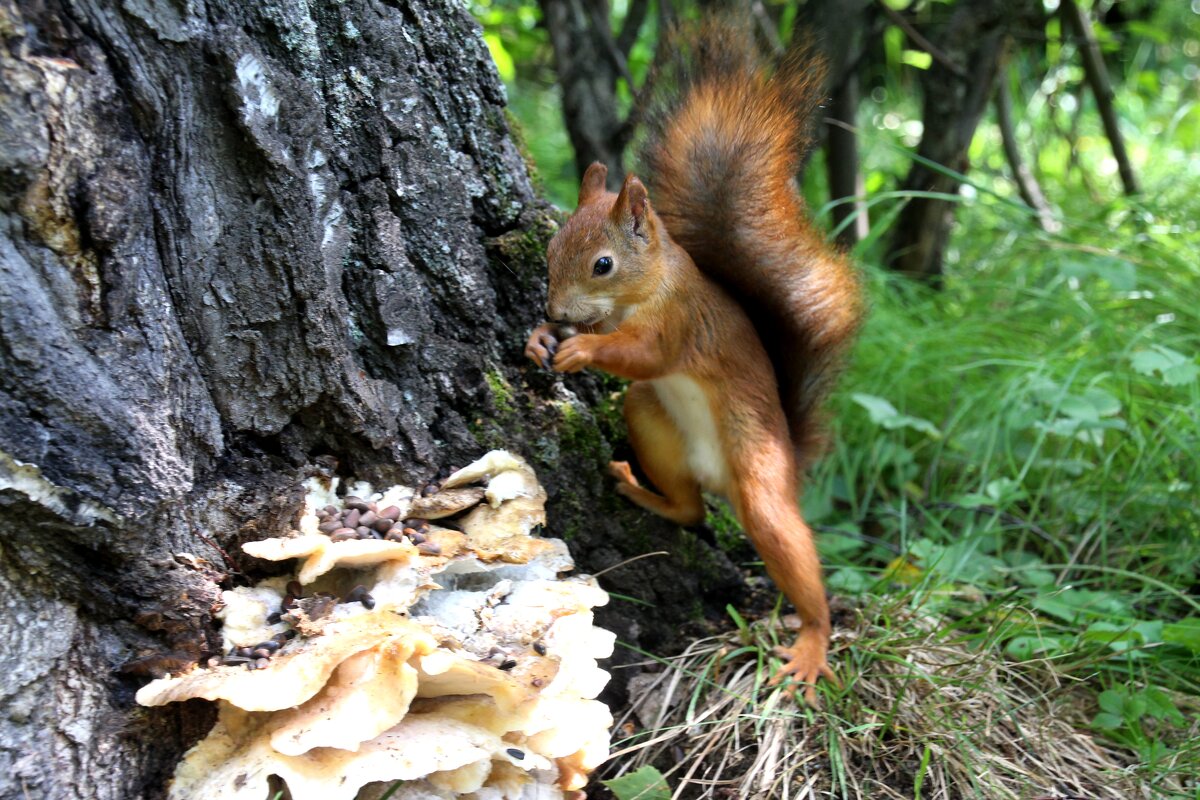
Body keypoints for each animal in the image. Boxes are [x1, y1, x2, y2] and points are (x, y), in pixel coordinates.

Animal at [525, 21, 864, 705]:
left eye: (602, 263)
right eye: (550, 249)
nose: (555, 306)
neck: (645, 288)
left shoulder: (677, 325)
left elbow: (645, 354)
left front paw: (580, 349)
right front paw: (541, 338)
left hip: (759, 472)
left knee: (791, 553)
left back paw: (811, 645)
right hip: (654, 422)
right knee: (688, 508)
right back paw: (641, 490)